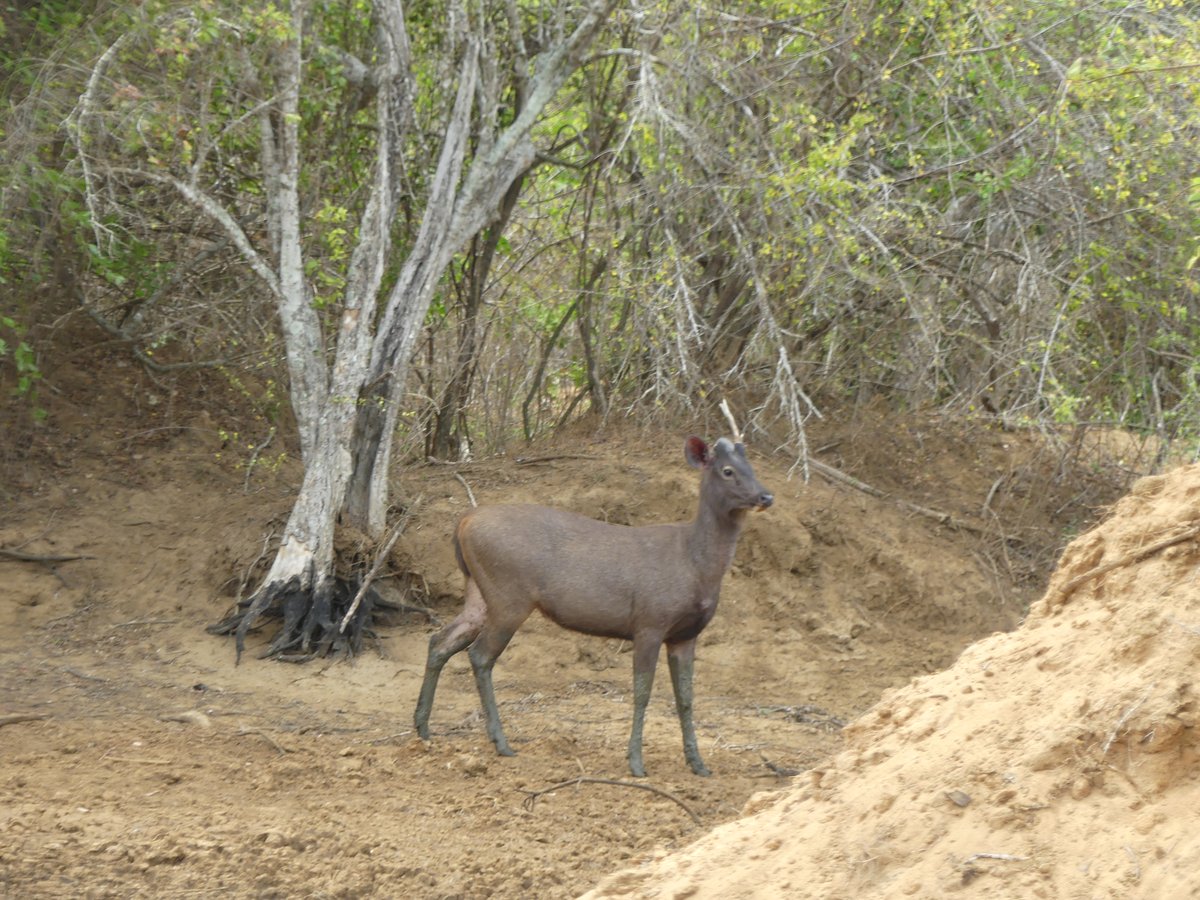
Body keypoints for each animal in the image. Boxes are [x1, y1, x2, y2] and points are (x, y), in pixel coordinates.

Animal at [412, 435, 774, 777]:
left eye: (751, 466)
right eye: (727, 471)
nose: (766, 496)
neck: (697, 568)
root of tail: (464, 521)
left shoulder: (686, 634)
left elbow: (685, 698)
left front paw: (698, 764)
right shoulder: (650, 621)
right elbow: (642, 692)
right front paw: (636, 762)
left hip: (479, 592)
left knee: (440, 640)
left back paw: (423, 726)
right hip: (508, 594)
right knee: (479, 655)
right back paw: (501, 742)